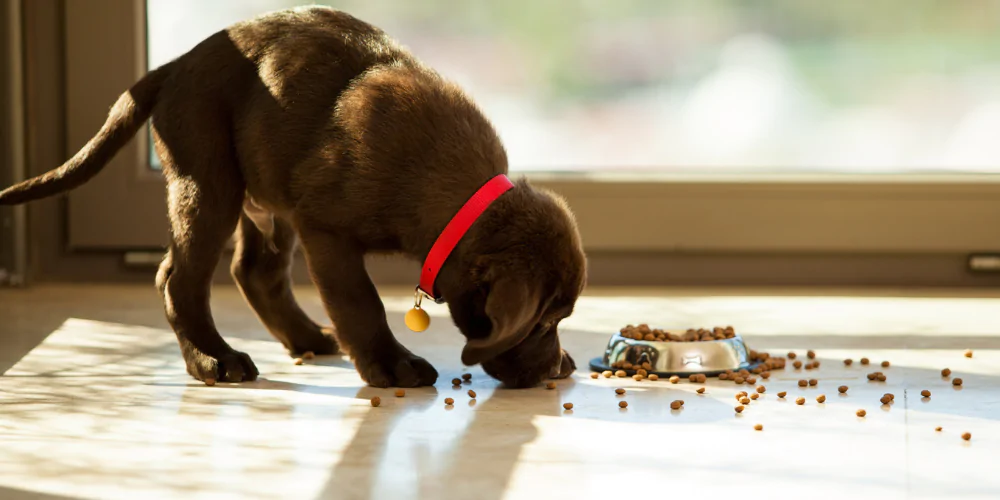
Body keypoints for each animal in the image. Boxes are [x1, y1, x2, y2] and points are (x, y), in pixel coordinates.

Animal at [0, 8, 584, 390]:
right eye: (542, 323)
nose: (556, 369)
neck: (456, 196)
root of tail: (175, 66)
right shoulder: (327, 230)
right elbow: (361, 302)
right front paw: (391, 364)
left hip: (264, 197)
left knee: (254, 271)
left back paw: (305, 338)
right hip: (208, 181)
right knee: (178, 278)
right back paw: (213, 360)